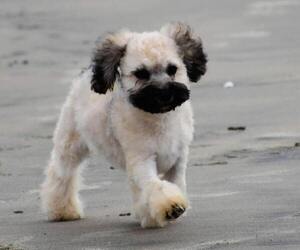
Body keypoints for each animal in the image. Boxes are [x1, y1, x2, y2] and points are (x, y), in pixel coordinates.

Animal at [41, 22, 207, 228]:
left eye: (172, 69)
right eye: (141, 74)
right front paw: (170, 206)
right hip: (70, 144)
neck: (159, 119)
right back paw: (62, 210)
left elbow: (174, 183)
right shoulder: (141, 160)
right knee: (62, 174)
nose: (164, 94)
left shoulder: (177, 160)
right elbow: (155, 186)